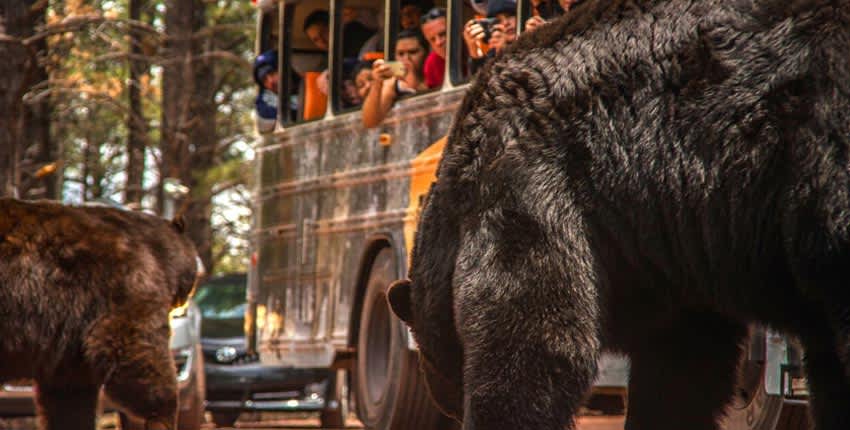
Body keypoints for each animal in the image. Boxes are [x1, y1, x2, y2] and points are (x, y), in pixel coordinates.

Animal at [0, 198, 200, 430]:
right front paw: (163, 415)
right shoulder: (125, 289)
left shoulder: (68, 338)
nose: (183, 300)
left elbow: (69, 397)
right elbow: (135, 352)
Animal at [385, 0, 850, 429]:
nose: (447, 403)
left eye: (430, 356)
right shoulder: (677, 248)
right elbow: (686, 363)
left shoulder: (524, 181)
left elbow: (533, 337)